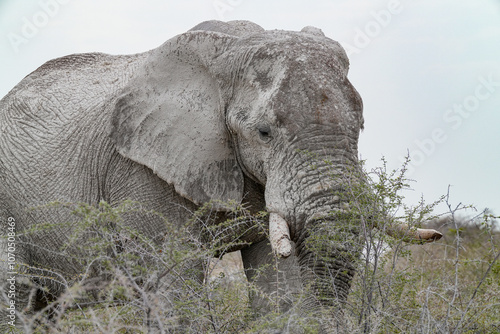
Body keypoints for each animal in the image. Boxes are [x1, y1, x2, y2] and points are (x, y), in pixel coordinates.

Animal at [0, 20, 440, 332]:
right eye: (263, 132)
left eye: (361, 126)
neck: (229, 51)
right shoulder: (140, 172)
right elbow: (175, 293)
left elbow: (278, 292)